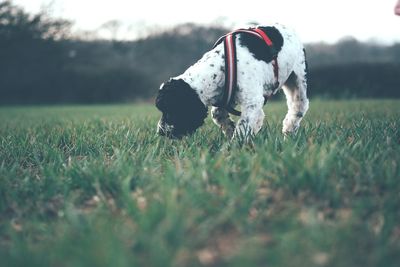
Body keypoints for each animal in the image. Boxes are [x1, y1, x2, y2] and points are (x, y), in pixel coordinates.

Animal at [155, 23, 310, 140]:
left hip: (298, 79)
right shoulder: (226, 97)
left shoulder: (252, 101)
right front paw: (231, 130)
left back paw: (289, 131)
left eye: (170, 111)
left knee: (299, 106)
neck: (223, 64)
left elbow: (243, 127)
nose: (160, 132)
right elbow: (218, 114)